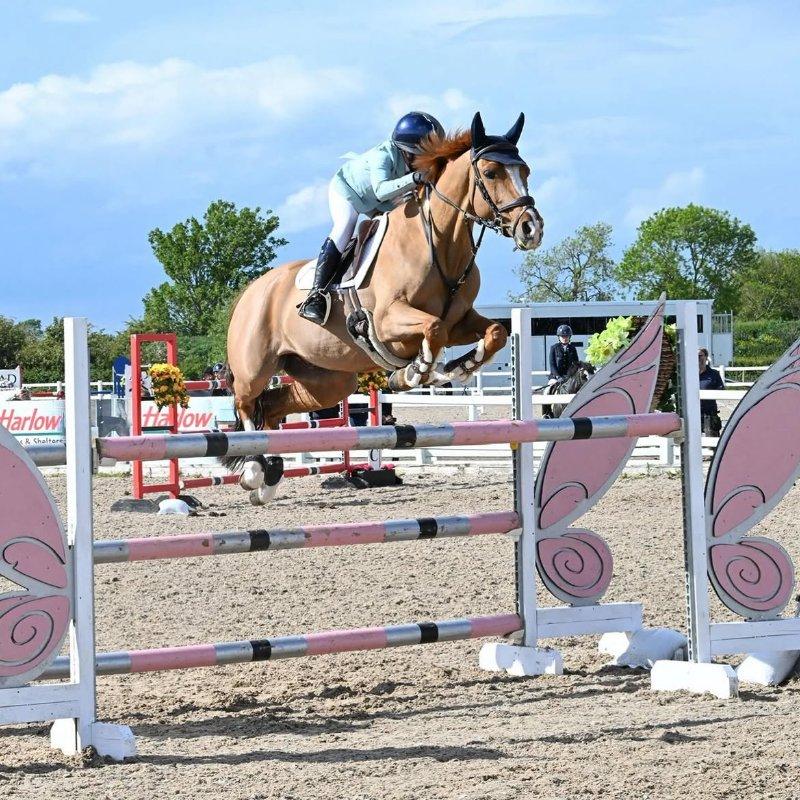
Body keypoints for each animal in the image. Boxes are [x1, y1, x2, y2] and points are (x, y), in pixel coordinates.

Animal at [225, 112, 544, 503]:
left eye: (524, 170)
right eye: (490, 172)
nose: (532, 228)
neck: (439, 244)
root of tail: (250, 291)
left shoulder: (461, 319)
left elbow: (495, 331)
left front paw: (458, 367)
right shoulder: (387, 322)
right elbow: (433, 330)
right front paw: (415, 372)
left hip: (328, 380)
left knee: (272, 406)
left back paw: (269, 477)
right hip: (254, 367)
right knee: (246, 404)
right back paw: (254, 470)